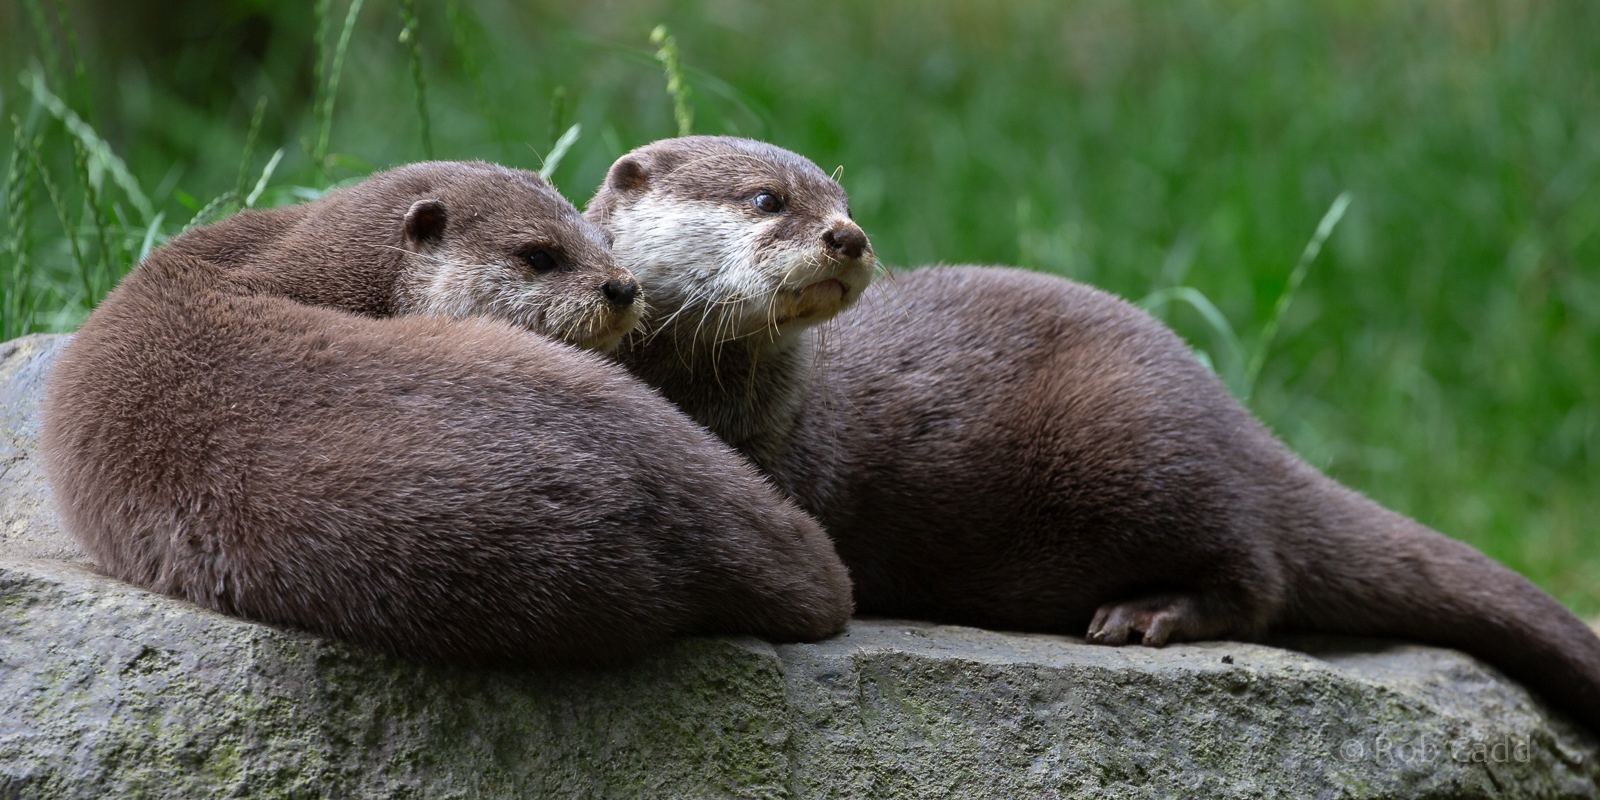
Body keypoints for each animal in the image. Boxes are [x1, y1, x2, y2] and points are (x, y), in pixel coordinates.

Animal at [586, 136, 1600, 732]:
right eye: (765, 200)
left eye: (842, 198)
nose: (849, 236)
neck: (715, 397)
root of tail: (1228, 412)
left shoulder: (788, 460)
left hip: (1144, 458)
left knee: (1262, 577)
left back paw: (1146, 615)